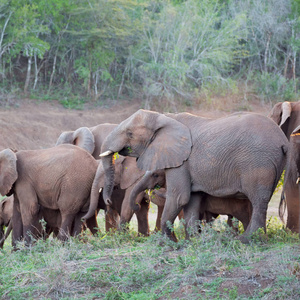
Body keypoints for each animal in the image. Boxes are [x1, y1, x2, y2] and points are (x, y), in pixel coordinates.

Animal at [99, 109, 290, 243]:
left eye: (130, 134)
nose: (107, 201)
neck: (164, 117)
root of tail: (283, 141)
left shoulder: (181, 162)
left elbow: (178, 198)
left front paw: (166, 244)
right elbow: (191, 201)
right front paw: (192, 242)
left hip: (259, 163)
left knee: (258, 200)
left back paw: (247, 240)